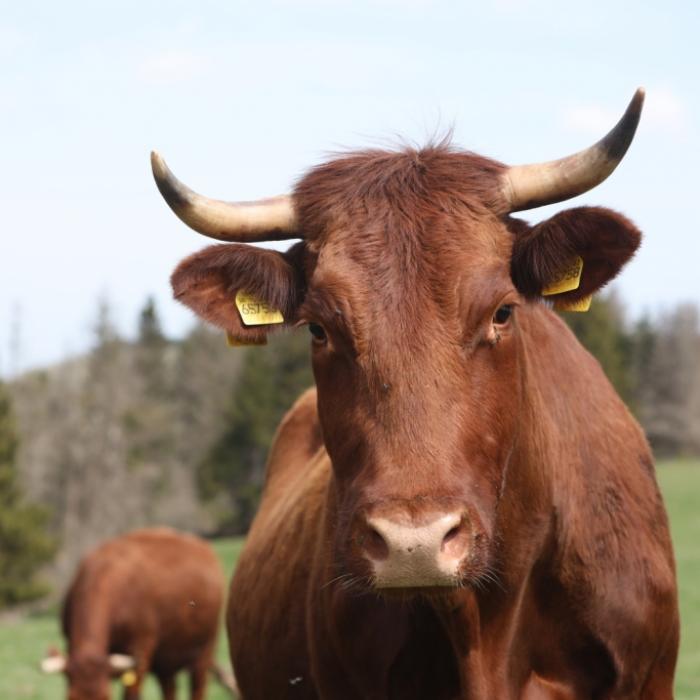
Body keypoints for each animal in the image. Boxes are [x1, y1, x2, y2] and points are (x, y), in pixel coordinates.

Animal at [41, 528, 224, 700]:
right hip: (165, 660)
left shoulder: (141, 650)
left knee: (198, 687)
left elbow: (131, 694)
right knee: (169, 689)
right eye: (70, 697)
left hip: (205, 650)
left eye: (106, 697)